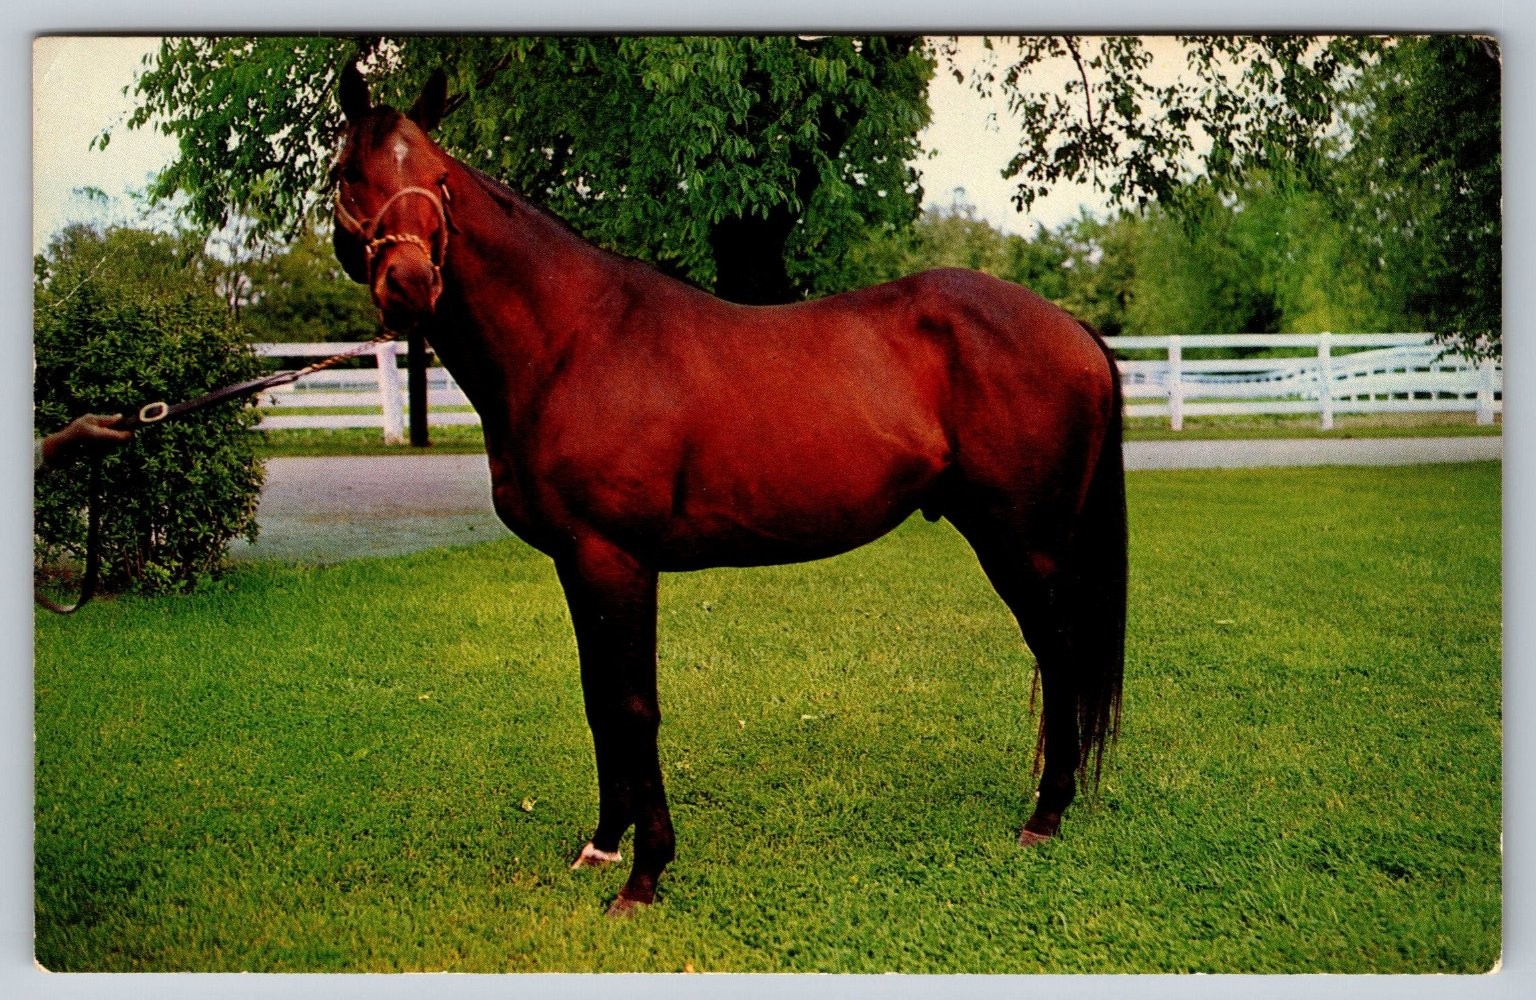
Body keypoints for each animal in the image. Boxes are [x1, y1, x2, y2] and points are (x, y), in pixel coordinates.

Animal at [330, 63, 1127, 916]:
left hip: (1023, 544)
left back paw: (1045, 815)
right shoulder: (577, 561)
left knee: (1062, 654)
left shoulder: (617, 559)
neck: (573, 342)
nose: (410, 283)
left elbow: (634, 707)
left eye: (440, 180)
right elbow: (598, 699)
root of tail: (1074, 330)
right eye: (349, 173)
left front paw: (645, 876)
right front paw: (603, 845)